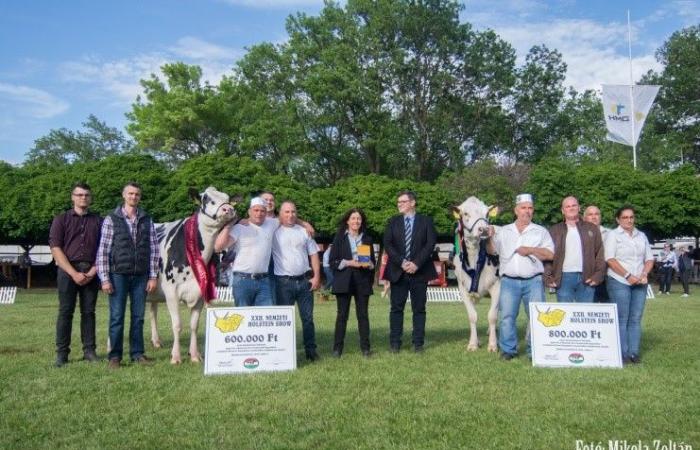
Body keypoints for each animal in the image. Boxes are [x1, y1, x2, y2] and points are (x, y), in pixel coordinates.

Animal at [149, 186, 237, 366]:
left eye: (227, 198)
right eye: (206, 199)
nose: (228, 209)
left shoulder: (200, 294)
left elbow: (194, 325)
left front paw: (195, 355)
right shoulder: (171, 292)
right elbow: (177, 325)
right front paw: (176, 357)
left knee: (152, 312)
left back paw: (156, 341)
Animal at [452, 199, 500, 354]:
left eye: (487, 213)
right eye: (465, 213)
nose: (484, 230)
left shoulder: (497, 286)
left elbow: (492, 316)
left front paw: (493, 345)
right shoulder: (463, 289)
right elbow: (472, 316)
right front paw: (473, 343)